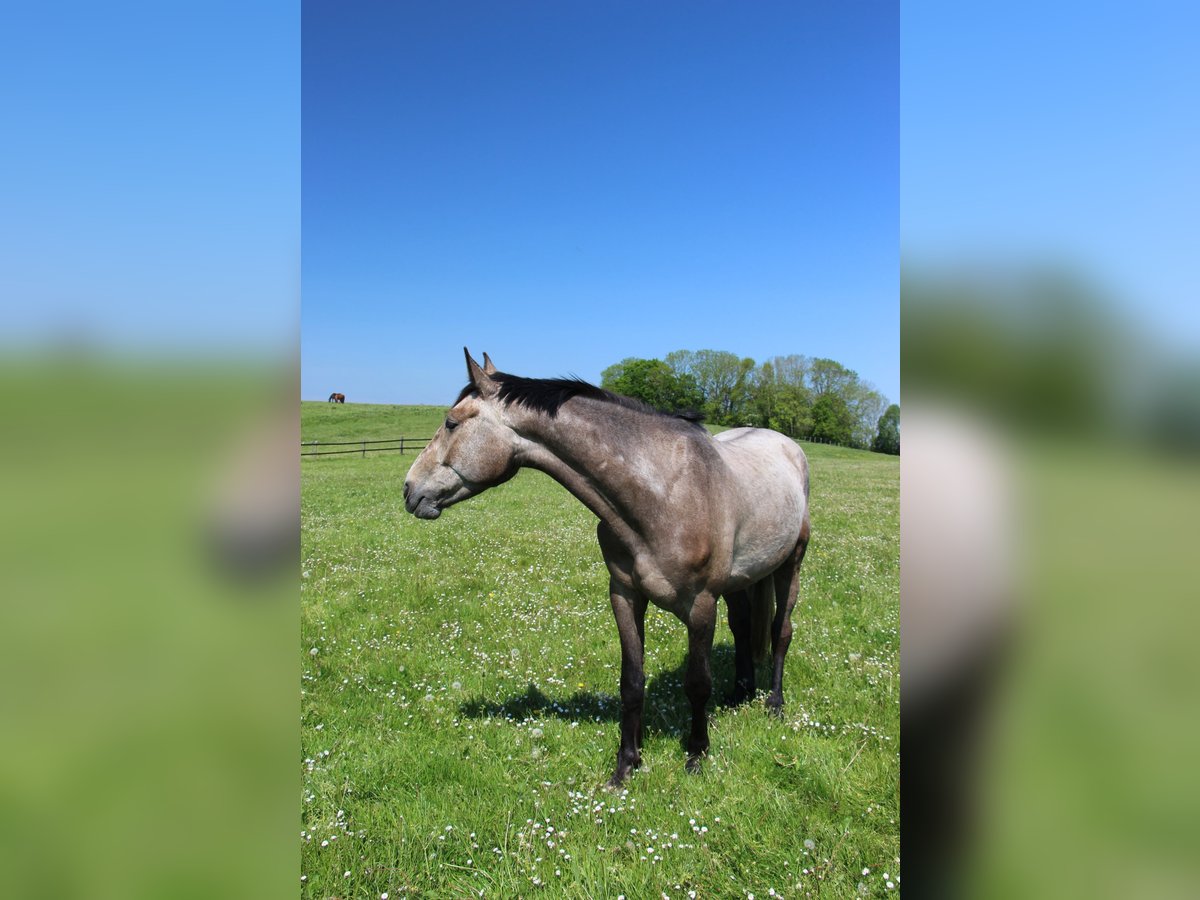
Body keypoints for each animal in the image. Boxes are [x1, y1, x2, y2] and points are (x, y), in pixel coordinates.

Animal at [408, 348, 811, 787]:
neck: (662, 493)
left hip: (791, 564)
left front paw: (697, 755)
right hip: (739, 582)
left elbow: (697, 683)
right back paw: (740, 694)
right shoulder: (625, 595)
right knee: (742, 628)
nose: (410, 490)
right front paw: (626, 764)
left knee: (781, 631)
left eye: (451, 422)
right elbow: (631, 682)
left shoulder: (701, 606)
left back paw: (774, 703)